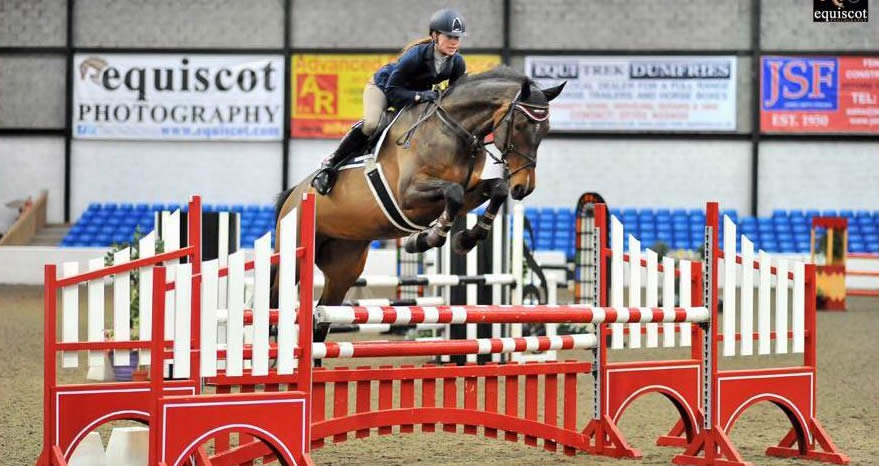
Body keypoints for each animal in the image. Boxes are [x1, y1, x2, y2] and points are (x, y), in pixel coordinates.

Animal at [272, 65, 568, 340]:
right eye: (519, 126)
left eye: (546, 130)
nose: (524, 187)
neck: (454, 130)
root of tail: (294, 195)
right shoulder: (408, 195)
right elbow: (453, 193)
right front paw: (427, 239)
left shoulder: (468, 192)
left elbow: (496, 188)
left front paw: (466, 239)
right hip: (293, 255)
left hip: (344, 266)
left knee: (320, 320)